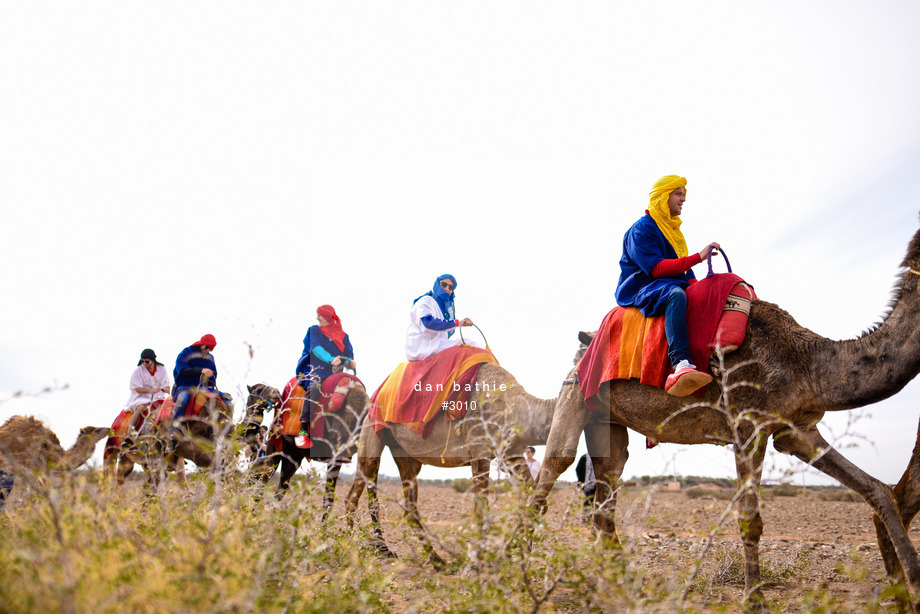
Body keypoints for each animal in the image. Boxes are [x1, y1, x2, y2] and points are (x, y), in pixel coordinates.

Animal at [250, 380, 368, 520]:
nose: (274, 393)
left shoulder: (341, 457)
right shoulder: (335, 456)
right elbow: (328, 499)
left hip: (293, 454)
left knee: (280, 487)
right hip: (275, 444)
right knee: (264, 479)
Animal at [344, 364, 556, 564]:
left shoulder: (512, 452)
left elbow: (537, 503)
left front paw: (519, 553)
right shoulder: (479, 449)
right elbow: (481, 509)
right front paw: (484, 559)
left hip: (401, 450)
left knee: (408, 505)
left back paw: (433, 560)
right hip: (371, 430)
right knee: (355, 492)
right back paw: (354, 550)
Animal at [528, 223, 920, 608]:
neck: (807, 362)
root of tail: (584, 344)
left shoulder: (797, 431)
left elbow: (876, 489)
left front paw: (909, 587)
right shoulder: (749, 426)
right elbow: (750, 520)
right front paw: (754, 600)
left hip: (606, 421)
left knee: (605, 497)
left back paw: (619, 586)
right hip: (575, 393)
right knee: (553, 470)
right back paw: (527, 577)